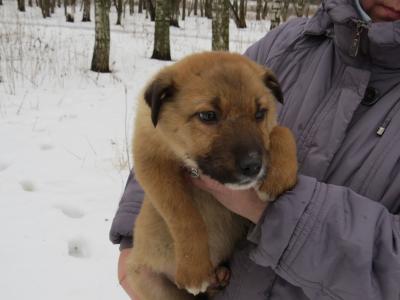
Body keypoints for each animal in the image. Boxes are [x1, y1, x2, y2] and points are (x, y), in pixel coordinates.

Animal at [127, 52, 296, 300]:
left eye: (260, 113)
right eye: (208, 115)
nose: (253, 166)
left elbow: (282, 131)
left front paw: (280, 176)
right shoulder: (152, 165)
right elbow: (186, 217)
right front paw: (194, 270)